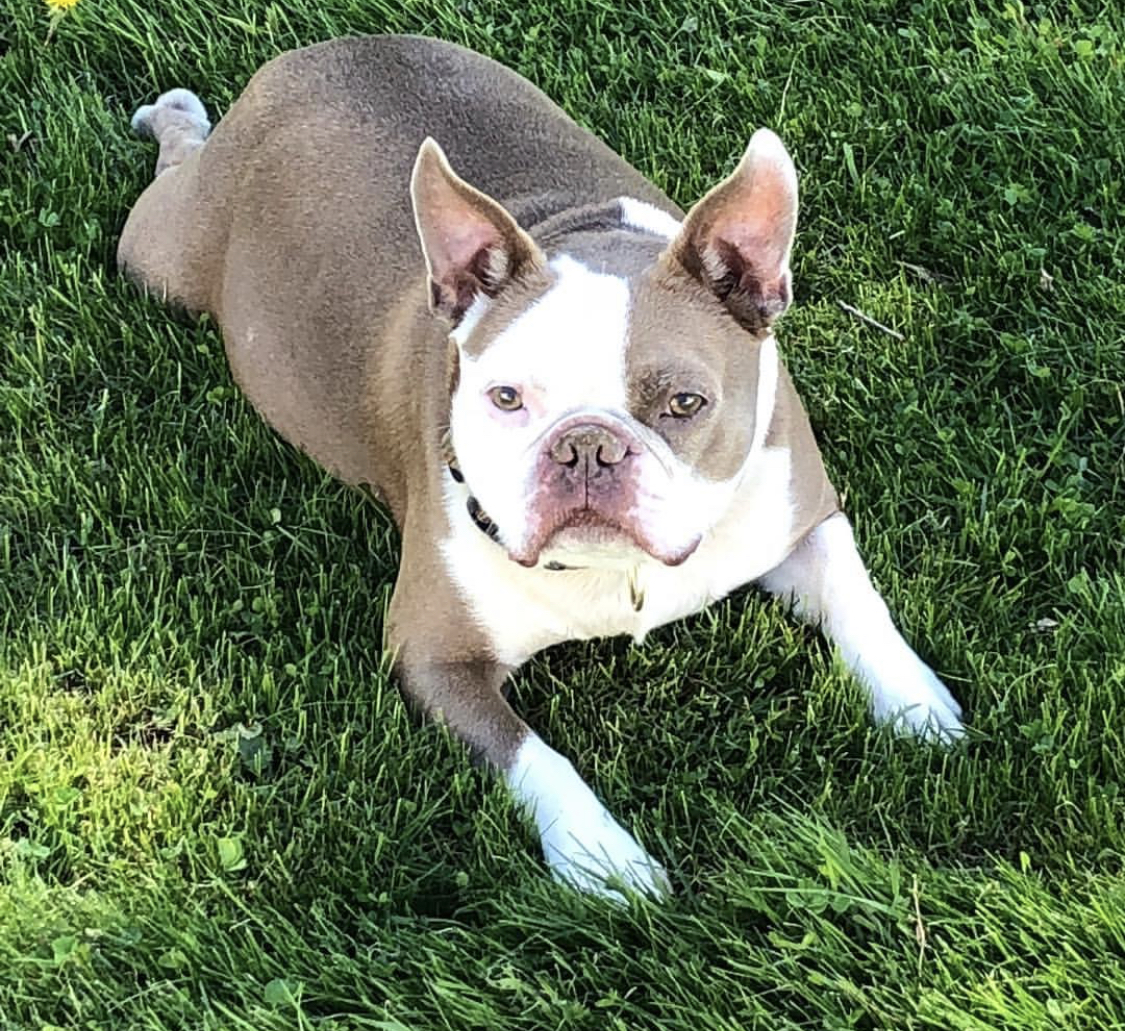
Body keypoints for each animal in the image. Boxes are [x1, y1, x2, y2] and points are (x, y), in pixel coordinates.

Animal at [116, 36, 967, 895]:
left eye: (685, 402)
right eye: (505, 397)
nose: (586, 446)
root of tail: (320, 50)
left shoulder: (802, 511)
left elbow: (858, 600)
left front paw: (918, 706)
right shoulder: (435, 655)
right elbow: (536, 755)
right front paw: (604, 856)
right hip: (160, 256)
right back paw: (176, 115)